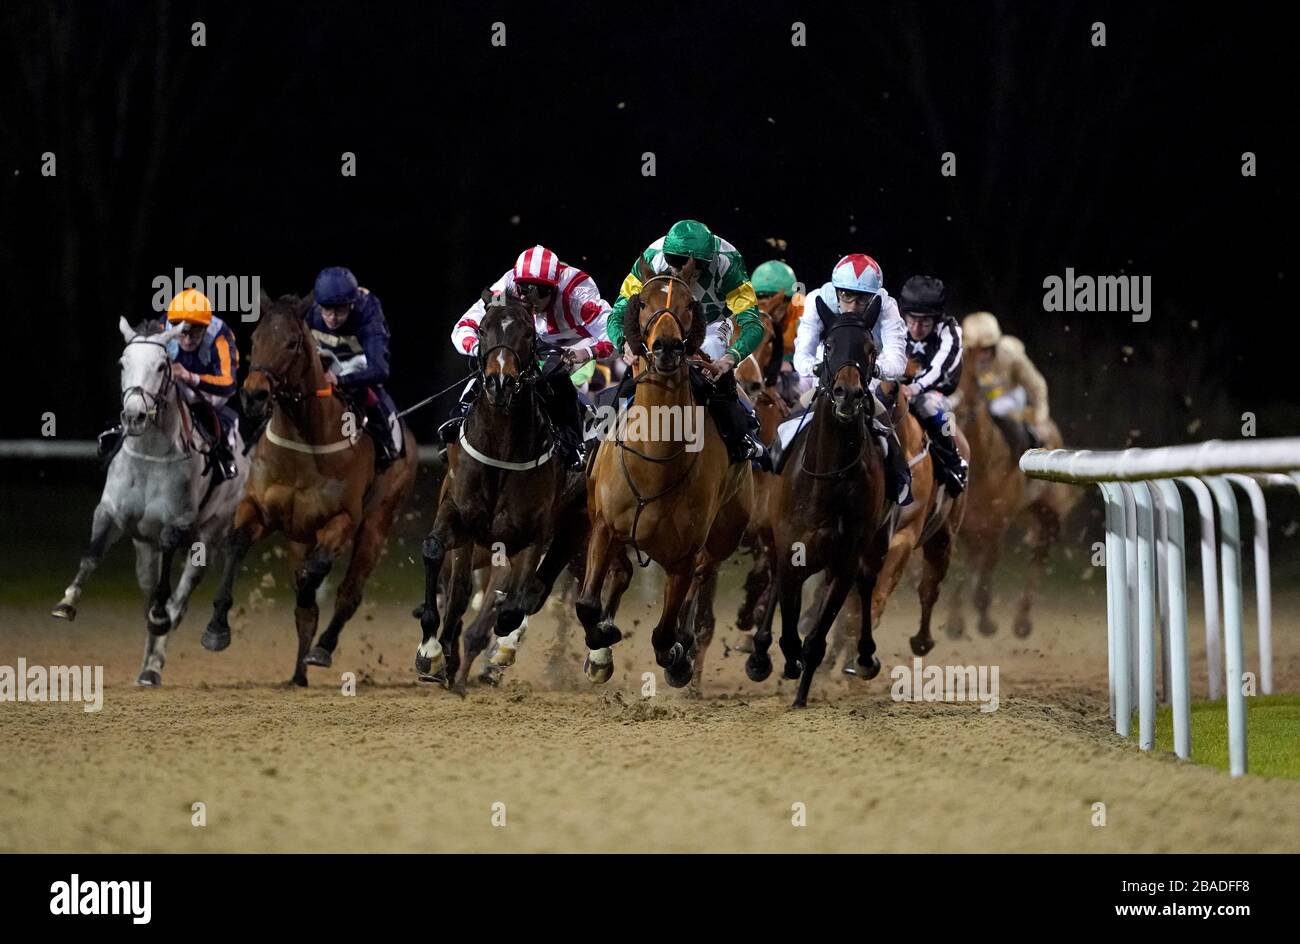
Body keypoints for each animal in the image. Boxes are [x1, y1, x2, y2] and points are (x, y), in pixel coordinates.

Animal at [200, 292, 418, 686]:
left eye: (292, 343)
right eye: (254, 339)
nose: (254, 395)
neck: (305, 442)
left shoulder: (341, 521)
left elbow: (317, 575)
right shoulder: (258, 510)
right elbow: (237, 547)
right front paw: (216, 628)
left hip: (377, 523)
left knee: (349, 592)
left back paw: (322, 648)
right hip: (297, 537)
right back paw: (299, 674)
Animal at [413, 292, 592, 691]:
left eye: (528, 334)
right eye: (483, 329)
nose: (499, 382)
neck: (501, 450)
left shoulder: (530, 537)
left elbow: (512, 604)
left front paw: (495, 649)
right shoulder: (457, 514)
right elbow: (434, 555)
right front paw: (432, 652)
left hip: (574, 534)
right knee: (461, 593)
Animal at [577, 271, 754, 686]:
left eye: (690, 304)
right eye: (643, 302)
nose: (668, 347)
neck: (655, 463)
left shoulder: (683, 557)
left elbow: (663, 633)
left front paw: (677, 656)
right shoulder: (604, 527)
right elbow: (588, 604)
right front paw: (602, 642)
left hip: (725, 532)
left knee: (702, 577)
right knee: (622, 572)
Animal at [743, 301, 894, 707]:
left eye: (870, 349)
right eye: (828, 346)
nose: (847, 394)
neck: (830, 476)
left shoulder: (844, 561)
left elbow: (815, 638)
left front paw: (801, 694)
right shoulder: (793, 551)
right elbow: (789, 629)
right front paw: (780, 660)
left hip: (877, 543)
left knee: (867, 582)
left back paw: (865, 656)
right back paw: (761, 655)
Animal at [946, 358, 1076, 639]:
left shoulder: (997, 524)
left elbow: (988, 566)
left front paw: (984, 619)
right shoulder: (964, 524)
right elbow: (961, 565)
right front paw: (956, 621)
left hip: (1046, 515)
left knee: (1038, 555)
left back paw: (1022, 620)